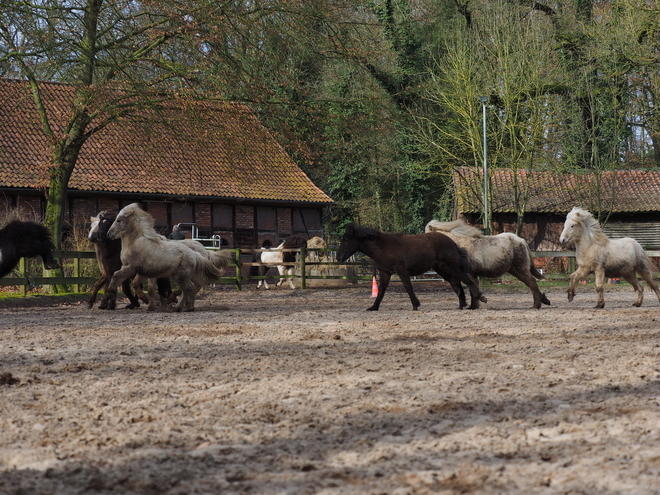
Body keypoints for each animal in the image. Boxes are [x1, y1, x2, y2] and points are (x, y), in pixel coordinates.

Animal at [100, 203, 229, 312]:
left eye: (118, 220)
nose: (109, 234)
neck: (135, 242)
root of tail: (195, 254)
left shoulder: (131, 268)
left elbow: (117, 276)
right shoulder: (141, 271)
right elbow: (136, 284)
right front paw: (146, 302)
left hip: (181, 276)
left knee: (190, 288)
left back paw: (181, 306)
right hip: (181, 276)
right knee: (189, 289)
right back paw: (184, 306)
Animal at [336, 224, 484, 310]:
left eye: (346, 239)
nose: (338, 257)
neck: (382, 247)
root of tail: (452, 242)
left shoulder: (401, 270)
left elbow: (408, 287)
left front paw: (415, 305)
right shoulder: (385, 272)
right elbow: (381, 290)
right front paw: (373, 307)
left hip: (449, 266)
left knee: (467, 280)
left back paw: (479, 298)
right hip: (441, 269)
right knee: (456, 283)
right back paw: (462, 305)